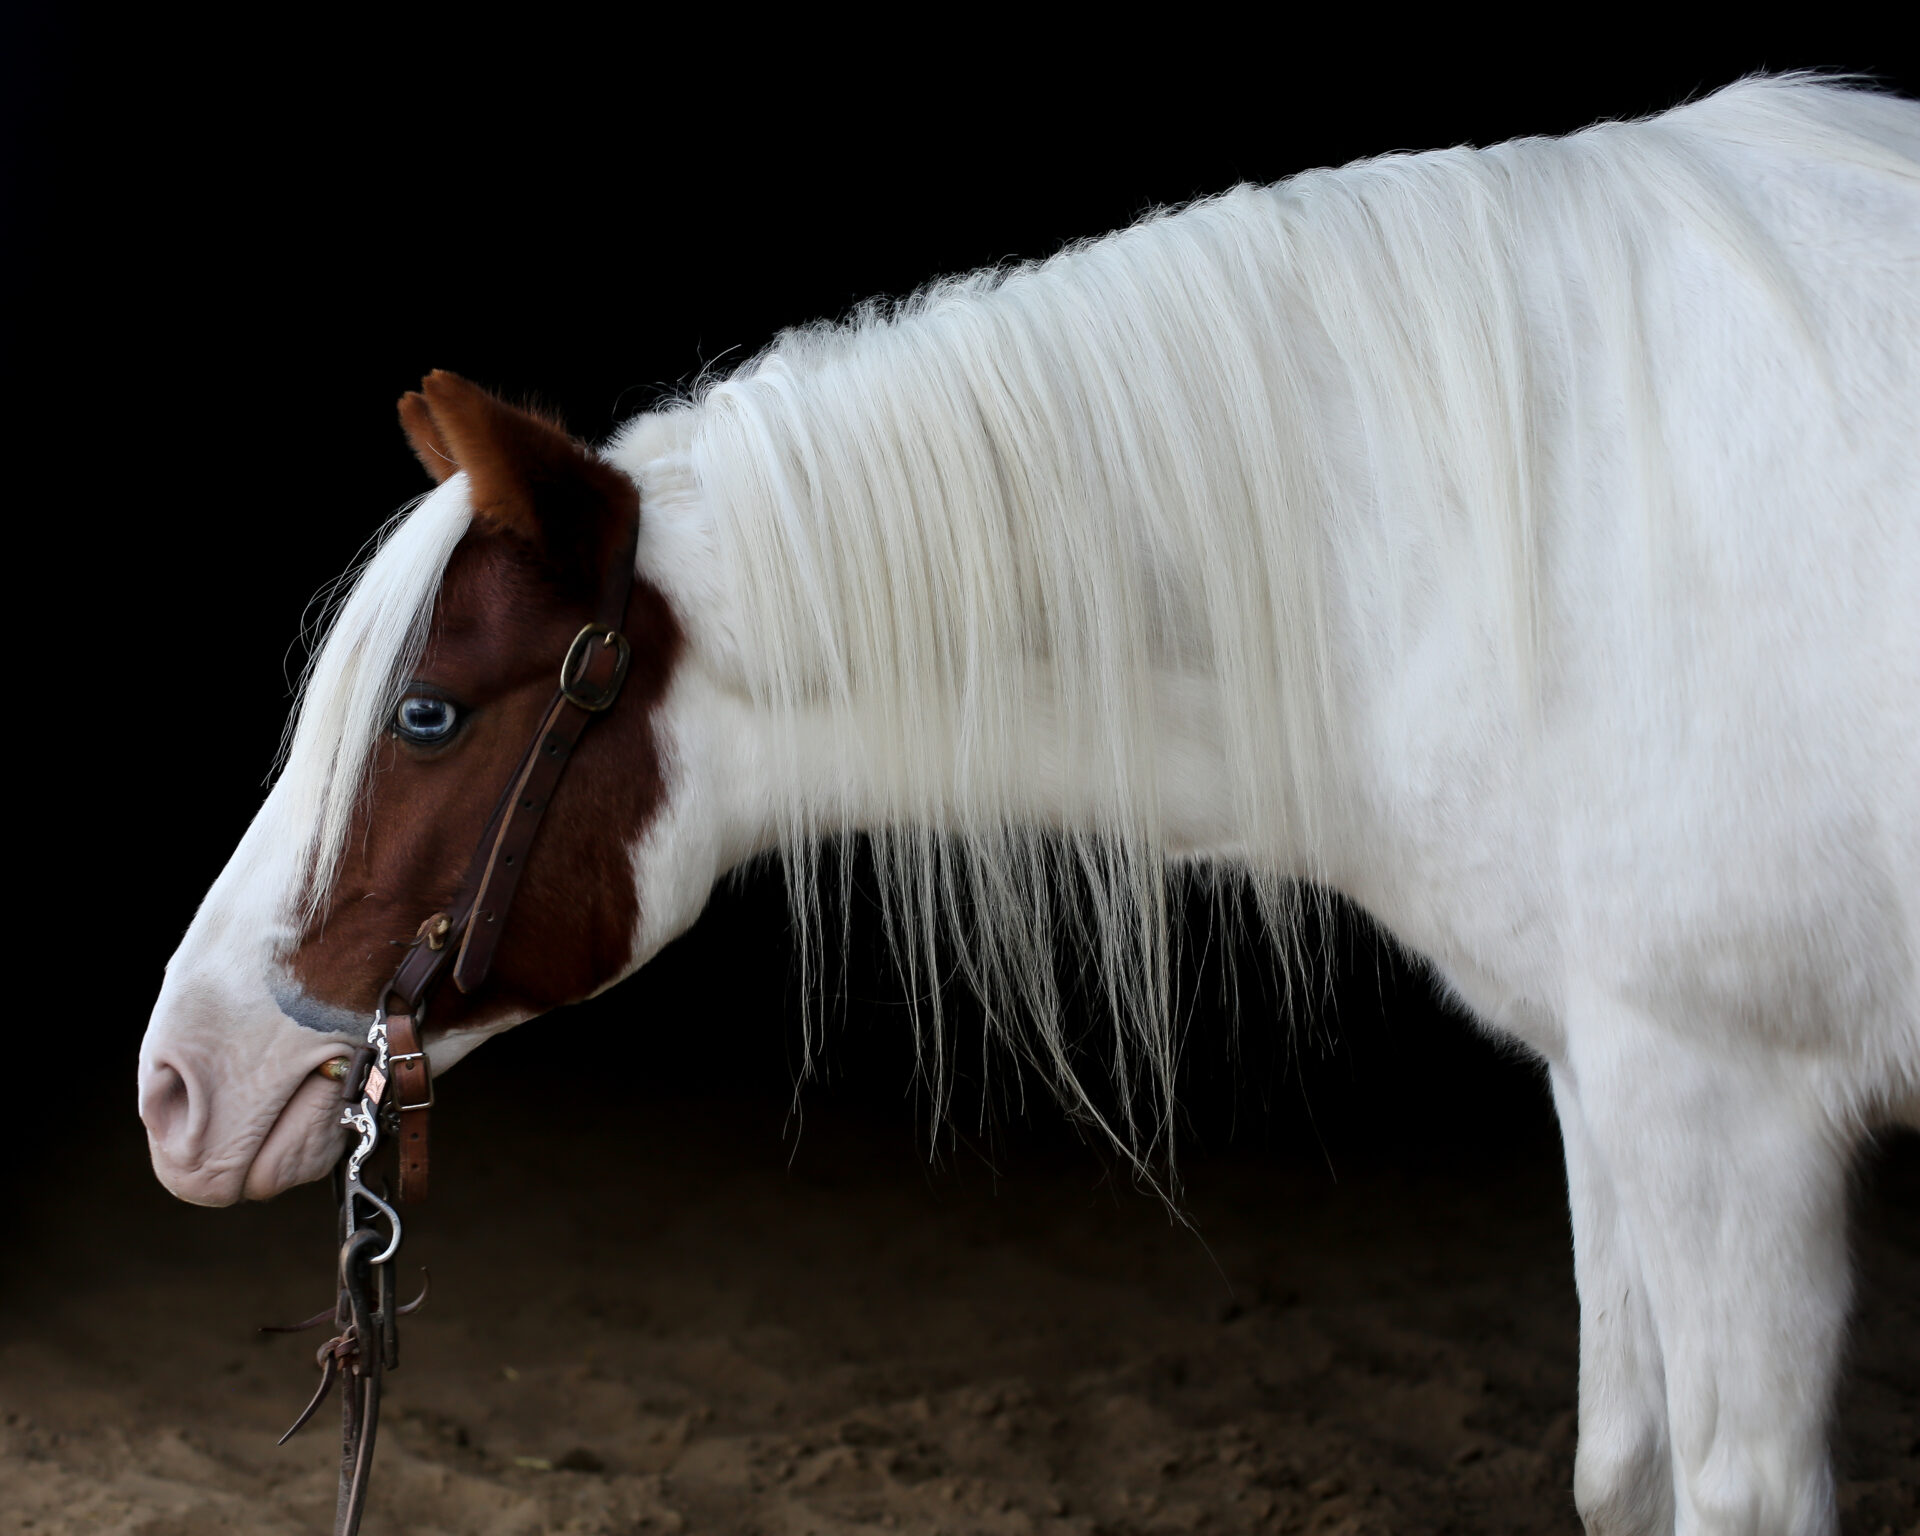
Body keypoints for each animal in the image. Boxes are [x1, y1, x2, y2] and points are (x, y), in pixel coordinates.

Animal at [138, 75, 1918, 1534]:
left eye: (427, 715)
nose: (171, 1086)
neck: (1496, 543)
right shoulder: (1606, 1080)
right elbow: (1622, 1473)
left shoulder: (1723, 1101)